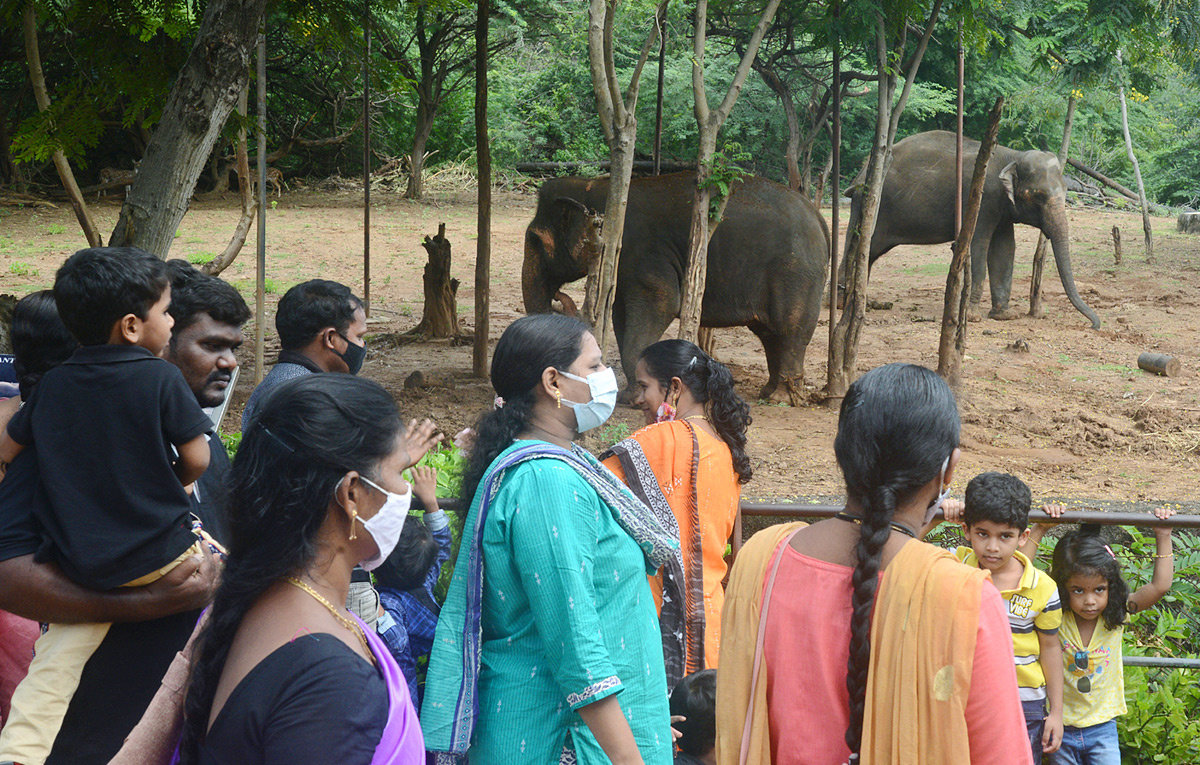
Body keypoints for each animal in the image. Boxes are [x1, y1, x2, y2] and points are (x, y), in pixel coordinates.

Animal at [520, 171, 830, 405]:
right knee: (769, 334)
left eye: (534, 240)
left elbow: (662, 301)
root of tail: (818, 217)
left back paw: (781, 398)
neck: (596, 186)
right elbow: (621, 316)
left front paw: (636, 399)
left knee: (790, 331)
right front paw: (631, 394)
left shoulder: (644, 252)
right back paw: (769, 392)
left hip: (795, 273)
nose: (559, 295)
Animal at [844, 129, 1099, 333]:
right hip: (868, 204)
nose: (1095, 325)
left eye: (1066, 191)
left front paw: (1004, 316)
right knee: (859, 245)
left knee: (868, 252)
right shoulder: (981, 198)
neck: (1013, 156)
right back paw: (842, 303)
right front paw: (973, 317)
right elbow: (978, 243)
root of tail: (862, 173)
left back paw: (858, 301)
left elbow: (1004, 249)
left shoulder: (1001, 207)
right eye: (1038, 196)